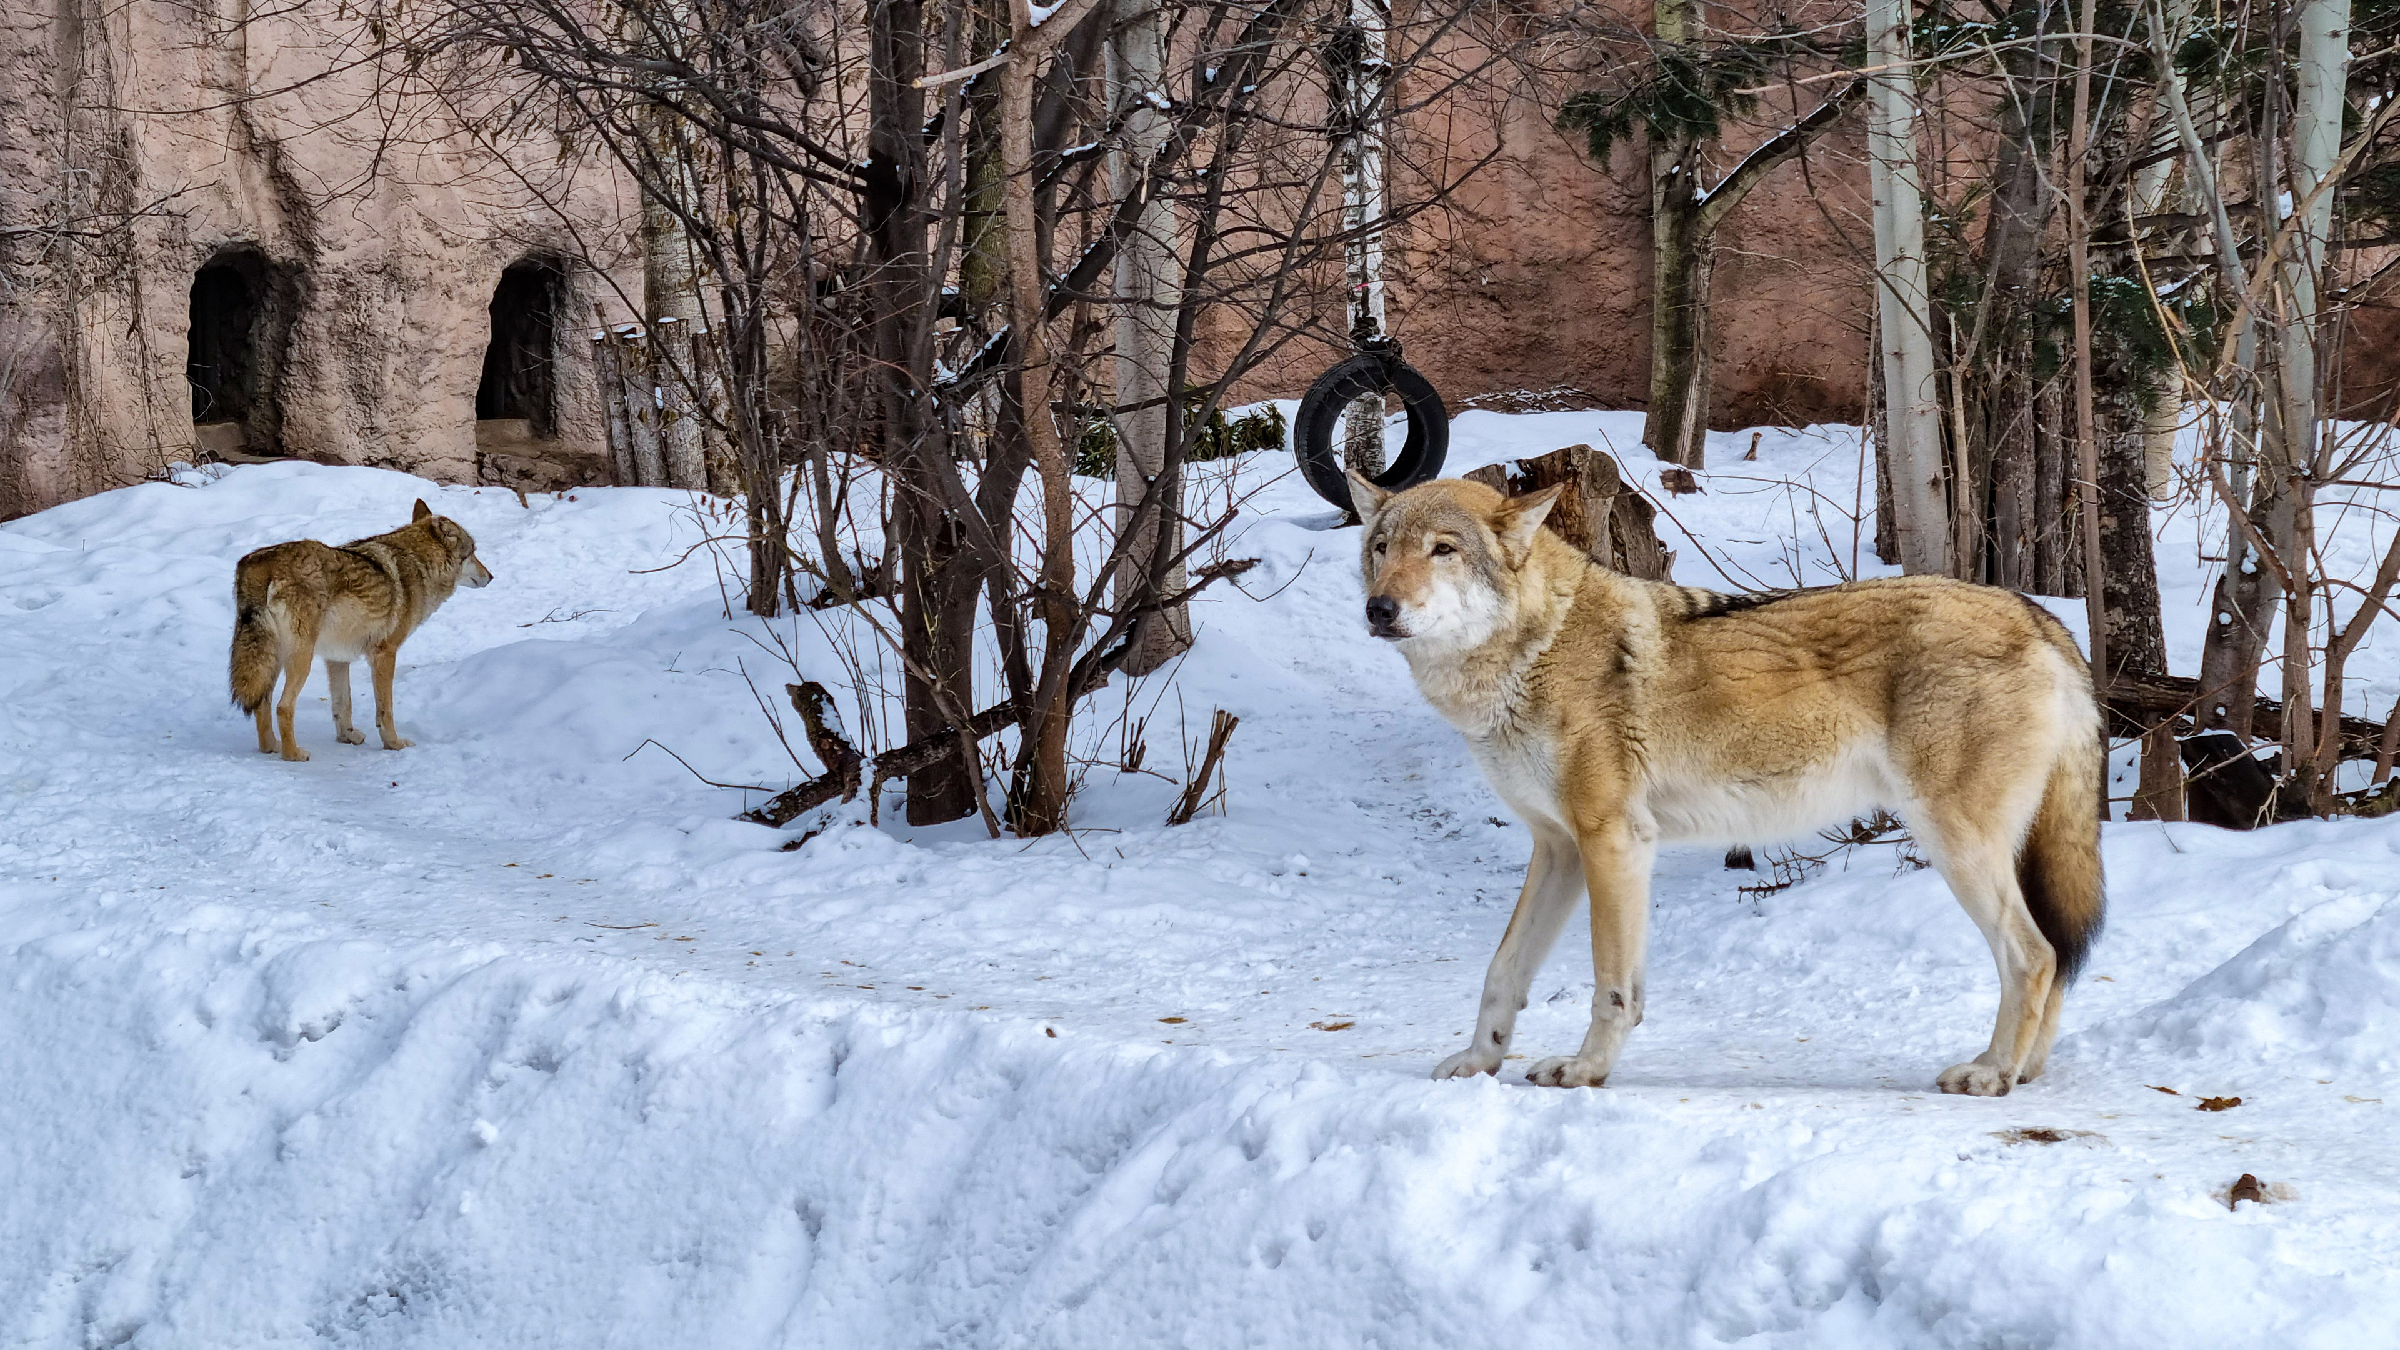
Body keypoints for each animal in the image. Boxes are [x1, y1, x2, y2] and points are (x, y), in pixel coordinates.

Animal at [226, 502, 494, 763]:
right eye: (472, 552)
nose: (491, 576)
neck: (418, 564)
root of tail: (260, 564)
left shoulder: (337, 659)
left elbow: (343, 703)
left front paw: (347, 736)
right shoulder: (385, 654)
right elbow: (385, 710)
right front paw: (394, 744)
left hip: (272, 659)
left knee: (262, 703)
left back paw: (271, 747)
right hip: (300, 660)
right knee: (283, 706)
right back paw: (293, 754)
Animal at [1363, 473, 2112, 1095]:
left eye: (1442, 550)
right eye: (1380, 547)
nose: (1379, 608)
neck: (1530, 652)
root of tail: (2041, 617)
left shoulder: (1614, 841)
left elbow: (1613, 986)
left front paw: (1585, 1070)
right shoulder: (1559, 848)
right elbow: (1503, 970)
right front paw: (1478, 1062)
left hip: (1954, 845)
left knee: (2035, 955)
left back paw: (1991, 1074)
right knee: (2055, 957)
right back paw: (2022, 1069)